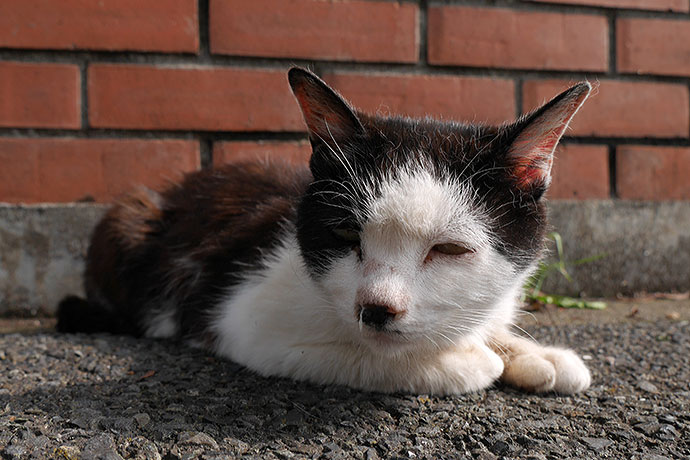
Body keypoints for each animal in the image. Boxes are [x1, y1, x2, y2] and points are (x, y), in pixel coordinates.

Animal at [56, 68, 588, 396]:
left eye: (450, 249)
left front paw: (532, 353)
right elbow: (365, 358)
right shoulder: (242, 319)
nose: (376, 309)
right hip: (129, 216)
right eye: (346, 236)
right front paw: (468, 361)